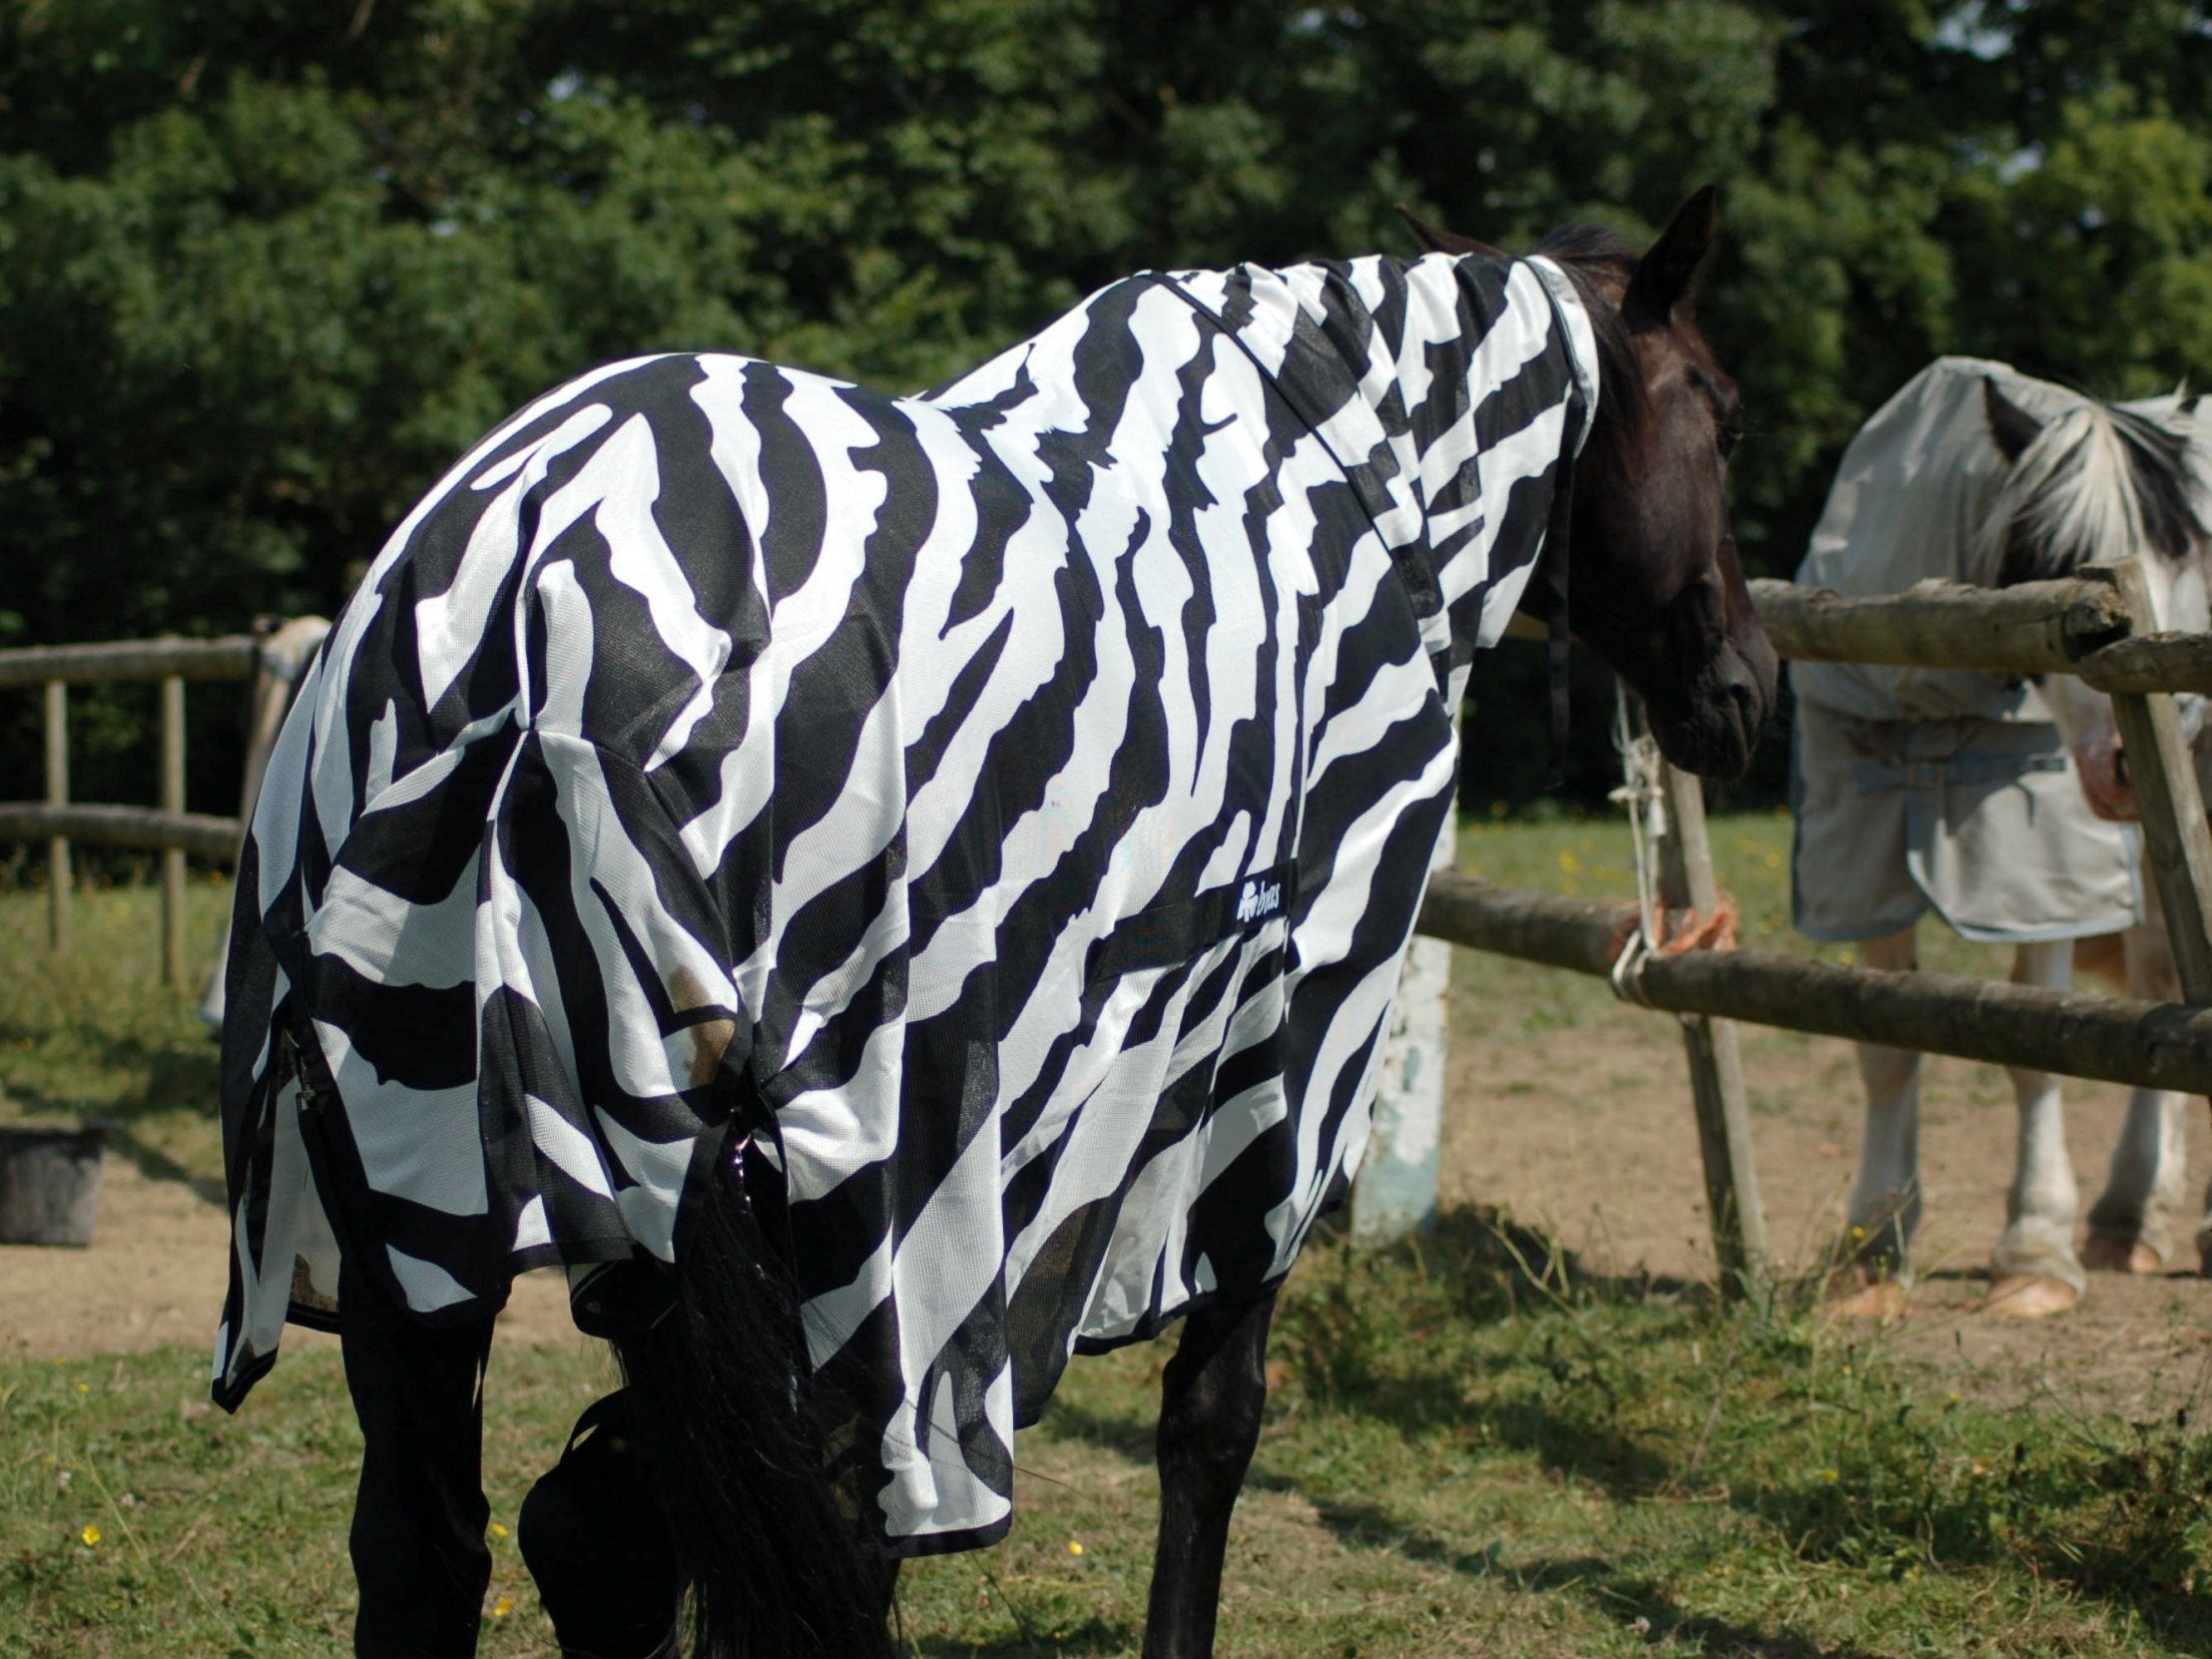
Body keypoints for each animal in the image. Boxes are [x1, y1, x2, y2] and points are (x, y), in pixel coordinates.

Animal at [1787, 357, 2203, 1318]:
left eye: (2185, 551)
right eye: (2052, 560)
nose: (2126, 765)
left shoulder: (2043, 876)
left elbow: (2036, 1053)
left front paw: (2034, 1250)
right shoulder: (1862, 854)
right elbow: (1883, 1047)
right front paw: (1873, 1245)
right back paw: (2133, 1214)